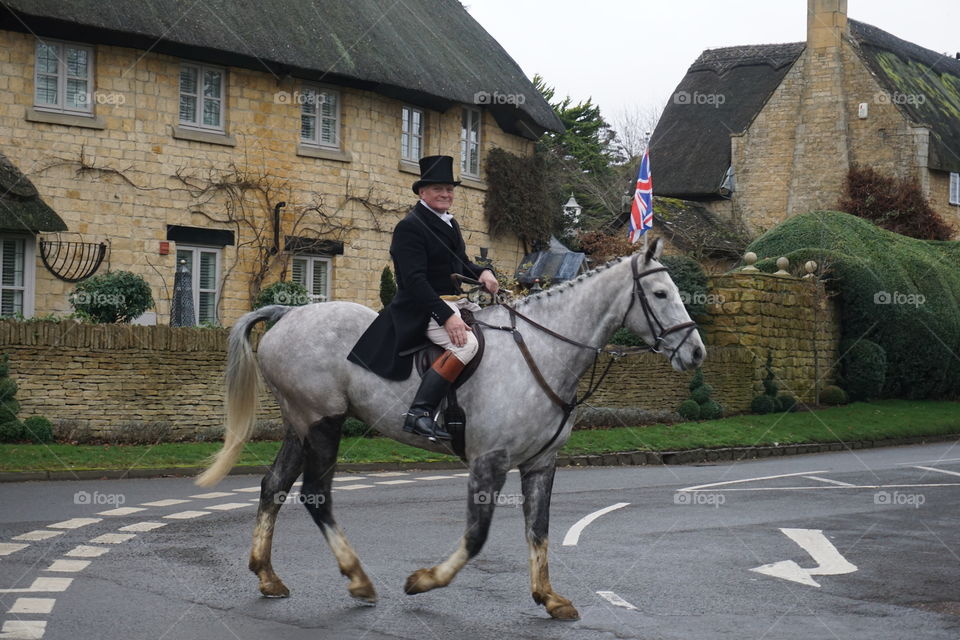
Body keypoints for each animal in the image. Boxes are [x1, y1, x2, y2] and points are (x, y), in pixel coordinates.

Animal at [197, 236, 704, 620]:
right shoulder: (489, 463)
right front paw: (424, 581)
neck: (543, 349)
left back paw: (267, 575)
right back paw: (358, 580)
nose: (696, 352)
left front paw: (548, 597)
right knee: (315, 495)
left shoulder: (541, 464)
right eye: (661, 294)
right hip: (324, 423)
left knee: (274, 486)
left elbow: (538, 530)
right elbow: (477, 538)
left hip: (300, 425)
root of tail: (288, 314)